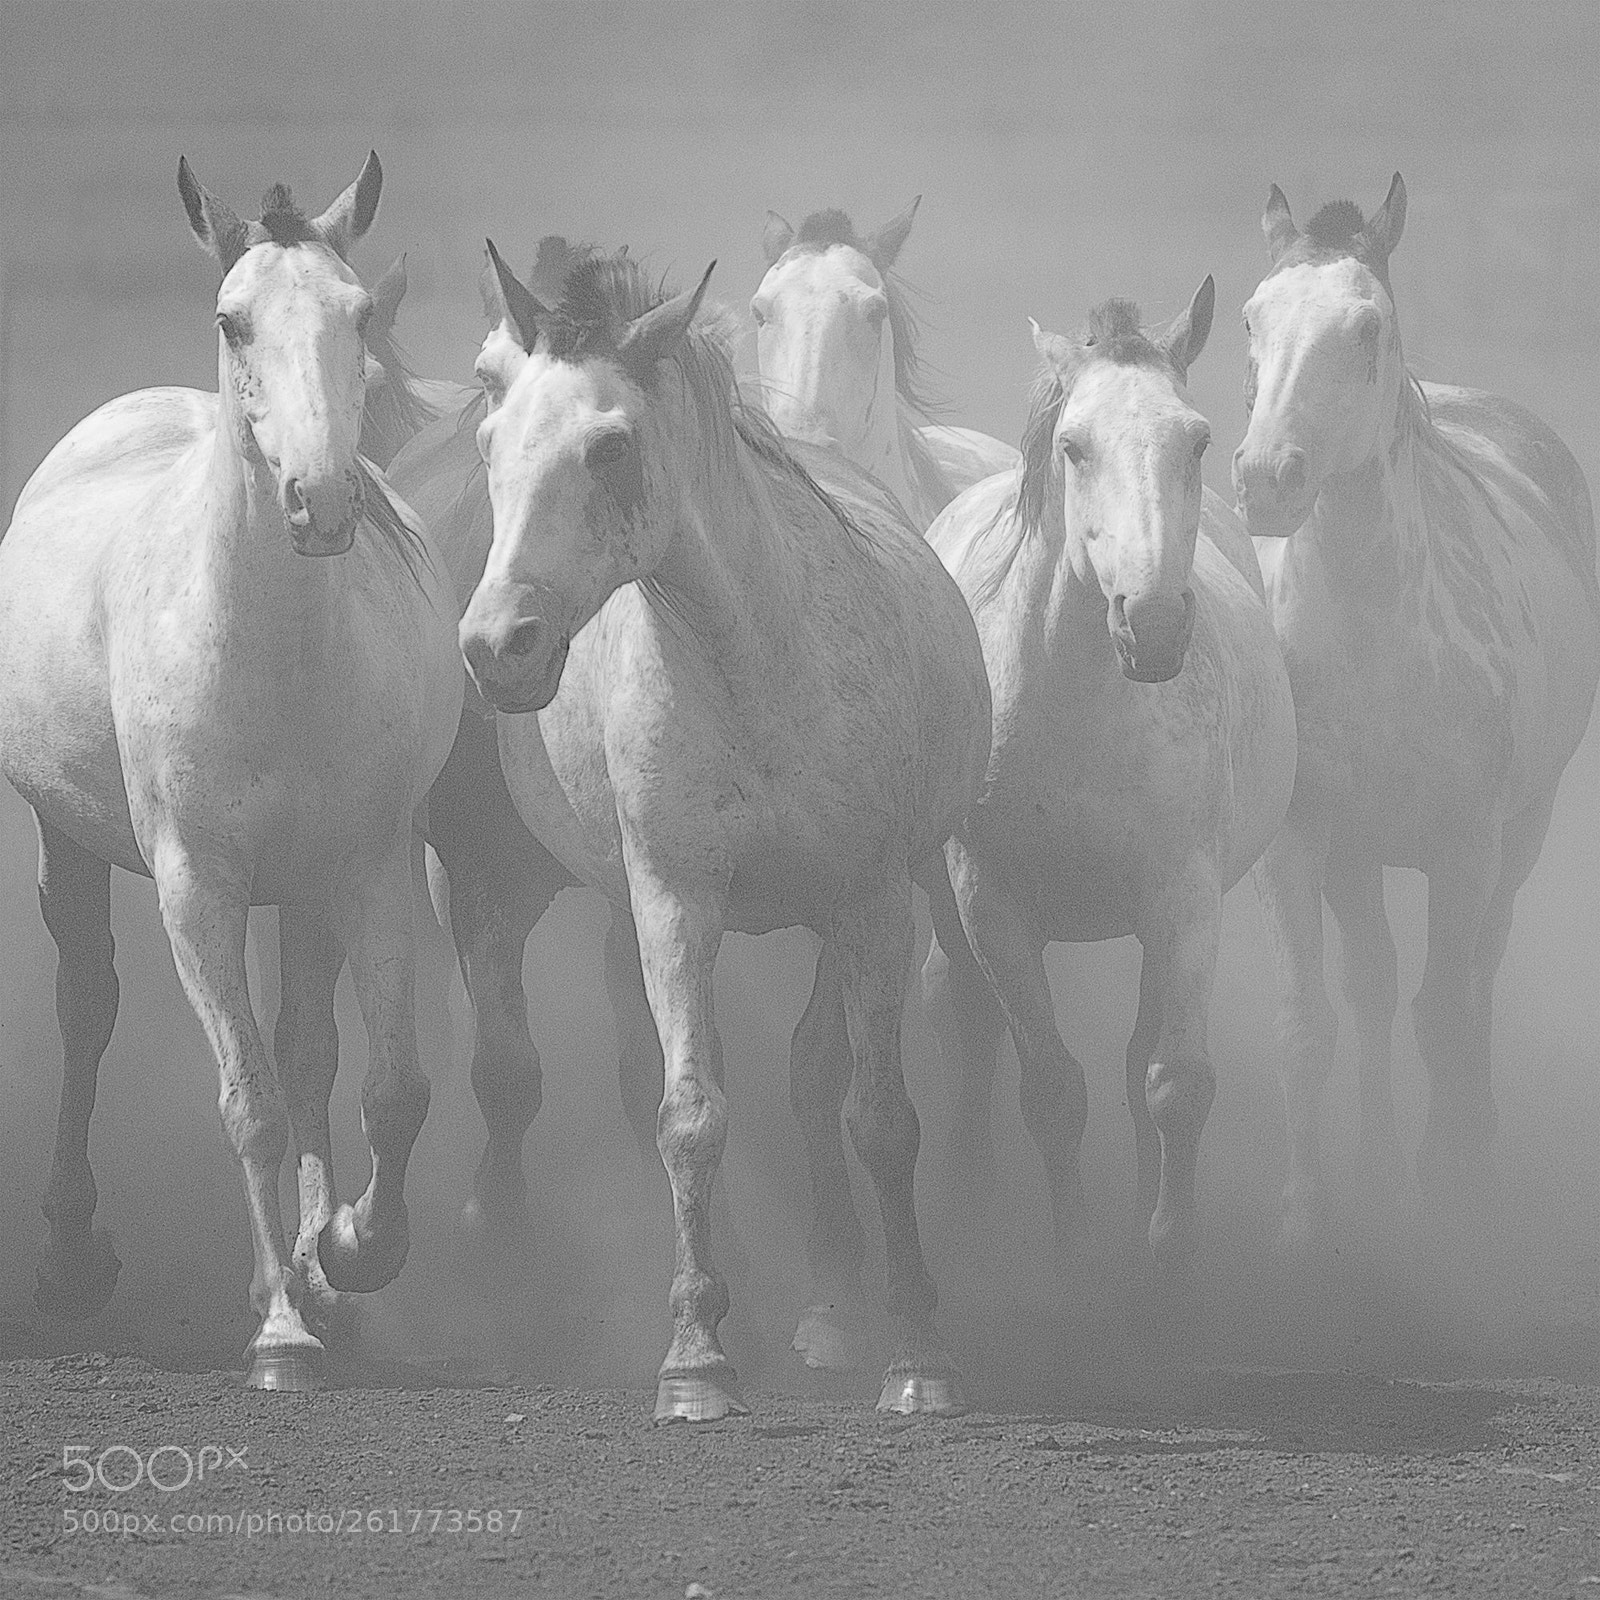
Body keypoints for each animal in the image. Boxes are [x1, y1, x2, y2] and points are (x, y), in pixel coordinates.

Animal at [0, 154, 463, 1390]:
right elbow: (248, 1098)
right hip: (71, 845)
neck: (274, 653)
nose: (322, 500)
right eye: (232, 318)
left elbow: (387, 1088)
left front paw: (348, 1252)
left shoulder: (364, 867)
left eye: (357, 315)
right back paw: (74, 1256)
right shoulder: (196, 888)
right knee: (88, 1007)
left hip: (303, 891)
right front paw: (281, 1332)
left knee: (309, 1047)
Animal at [458, 240, 992, 1420]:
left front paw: (920, 1351)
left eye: (609, 445)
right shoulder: (673, 904)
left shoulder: (871, 903)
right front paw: (696, 1359)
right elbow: (690, 1115)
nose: (497, 645)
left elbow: (880, 1120)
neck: (750, 659)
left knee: (818, 1077)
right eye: (491, 437)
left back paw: (837, 1307)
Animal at [925, 284, 1296, 1266]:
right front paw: (1074, 1254)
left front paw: (1164, 1248)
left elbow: (1173, 1082)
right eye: (1074, 445)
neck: (1078, 712)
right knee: (967, 1024)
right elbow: (1053, 1089)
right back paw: (968, 1188)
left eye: (1195, 440)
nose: (1156, 623)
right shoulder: (992, 906)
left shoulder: (1184, 898)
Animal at [1233, 174, 1600, 1236]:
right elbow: (1311, 1024)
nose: (1266, 480)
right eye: (1252, 319)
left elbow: (1444, 1013)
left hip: (1521, 835)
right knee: (1374, 988)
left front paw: (1451, 1192)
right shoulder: (1301, 848)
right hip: (1358, 860)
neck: (1377, 642)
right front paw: (1309, 1216)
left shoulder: (1465, 848)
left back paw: (1470, 1141)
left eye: (1367, 329)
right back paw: (1382, 1166)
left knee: (1476, 977)